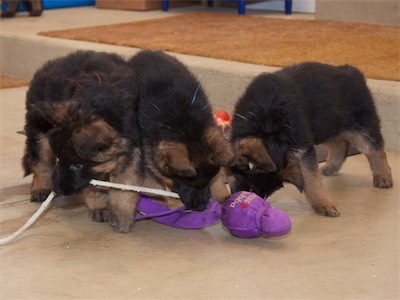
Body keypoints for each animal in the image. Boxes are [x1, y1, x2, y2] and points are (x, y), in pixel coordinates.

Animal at [23, 50, 141, 232]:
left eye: (77, 165)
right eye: (60, 158)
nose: (56, 188)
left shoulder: (129, 148)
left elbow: (125, 184)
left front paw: (122, 215)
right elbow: (93, 187)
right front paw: (99, 207)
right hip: (39, 128)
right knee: (41, 161)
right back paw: (41, 188)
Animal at [128, 50, 234, 211]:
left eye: (207, 181)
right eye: (187, 183)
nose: (202, 207)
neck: (185, 126)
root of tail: (146, 52)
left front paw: (221, 192)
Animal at [231, 63, 394, 217]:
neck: (265, 125)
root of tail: (352, 71)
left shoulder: (303, 148)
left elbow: (312, 179)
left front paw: (324, 204)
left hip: (362, 125)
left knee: (375, 150)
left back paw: (383, 176)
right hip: (328, 125)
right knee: (339, 144)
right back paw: (332, 166)